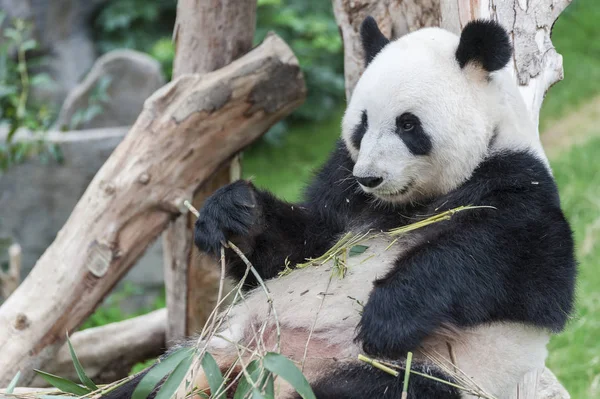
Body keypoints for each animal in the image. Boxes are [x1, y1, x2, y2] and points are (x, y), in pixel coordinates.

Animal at [108, 16, 576, 399]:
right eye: (362, 124)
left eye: (408, 125)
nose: (370, 177)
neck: (406, 204)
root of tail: (268, 369)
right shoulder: (340, 185)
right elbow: (294, 249)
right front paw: (232, 213)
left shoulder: (517, 182)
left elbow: (511, 264)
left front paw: (387, 317)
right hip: (202, 354)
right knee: (146, 384)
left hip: (422, 370)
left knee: (384, 388)